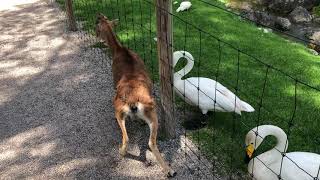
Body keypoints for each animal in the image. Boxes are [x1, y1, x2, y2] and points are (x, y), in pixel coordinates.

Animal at [95, 13, 176, 177]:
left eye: (97, 26)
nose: (96, 36)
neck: (118, 51)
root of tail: (133, 102)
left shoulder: (113, 80)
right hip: (153, 113)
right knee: (151, 142)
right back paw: (169, 170)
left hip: (118, 109)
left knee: (126, 138)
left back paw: (121, 152)